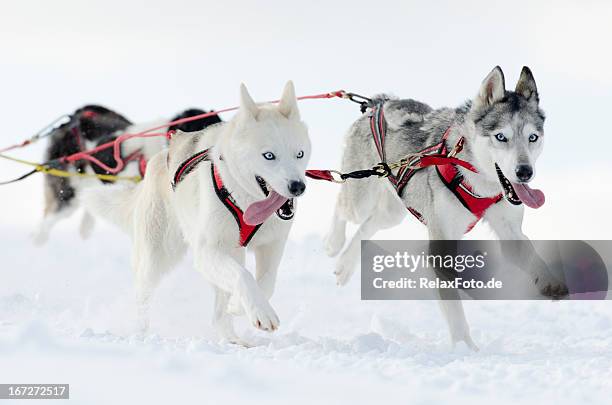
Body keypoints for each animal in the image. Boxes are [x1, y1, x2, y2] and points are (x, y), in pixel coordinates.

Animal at [85, 83, 310, 344]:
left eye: (299, 154)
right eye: (269, 156)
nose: (298, 186)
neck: (245, 202)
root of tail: (159, 157)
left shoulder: (272, 247)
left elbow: (266, 282)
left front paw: (241, 306)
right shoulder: (207, 251)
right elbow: (243, 277)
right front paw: (259, 311)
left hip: (231, 253)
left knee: (220, 310)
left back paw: (233, 337)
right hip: (157, 256)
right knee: (143, 297)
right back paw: (140, 332)